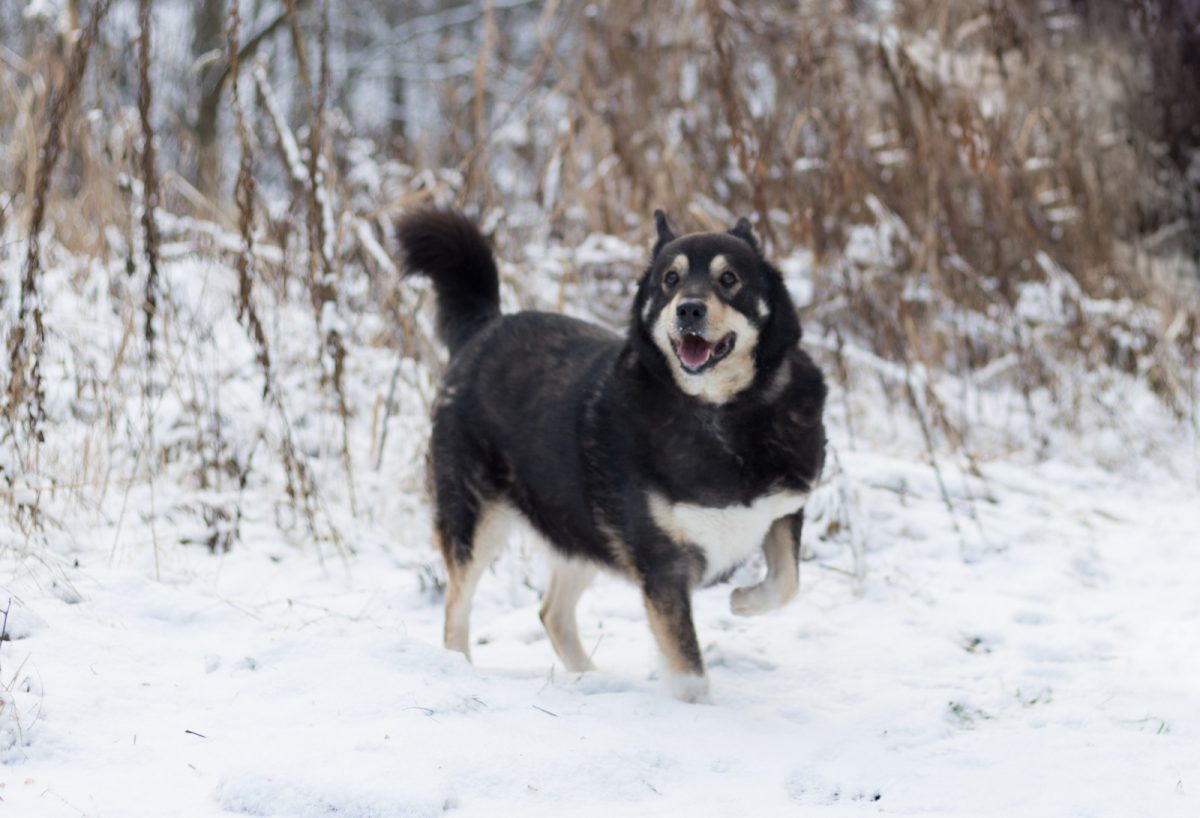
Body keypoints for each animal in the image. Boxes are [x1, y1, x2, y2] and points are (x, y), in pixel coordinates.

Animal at [396, 207, 825, 695]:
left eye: (729, 278)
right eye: (670, 279)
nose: (689, 309)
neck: (722, 413)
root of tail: (484, 326)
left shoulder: (783, 508)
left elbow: (787, 583)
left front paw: (743, 601)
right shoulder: (661, 562)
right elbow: (690, 673)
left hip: (583, 526)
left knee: (552, 611)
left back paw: (592, 680)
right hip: (477, 519)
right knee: (457, 610)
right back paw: (459, 669)